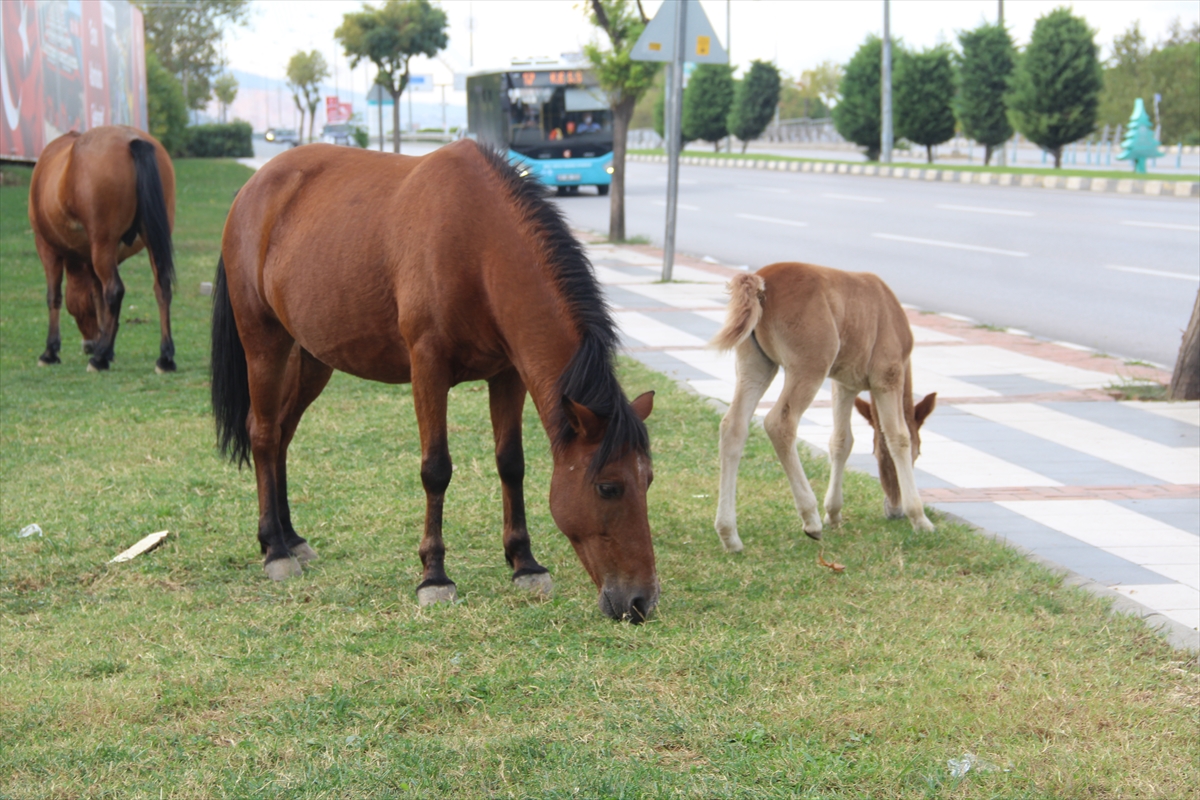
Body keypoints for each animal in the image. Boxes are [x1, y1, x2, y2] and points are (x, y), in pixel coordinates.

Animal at [27, 126, 175, 374]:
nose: (88, 345)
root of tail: (132, 140)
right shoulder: (94, 257)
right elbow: (99, 297)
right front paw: (108, 346)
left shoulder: (47, 247)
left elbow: (54, 296)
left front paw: (51, 351)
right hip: (152, 242)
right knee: (161, 287)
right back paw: (165, 357)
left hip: (101, 244)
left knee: (114, 289)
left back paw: (98, 359)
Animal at [206, 140, 657, 623]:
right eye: (608, 487)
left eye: (648, 480)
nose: (641, 601)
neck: (478, 246)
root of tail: (253, 187)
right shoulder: (427, 366)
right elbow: (436, 469)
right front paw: (435, 576)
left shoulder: (507, 374)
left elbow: (511, 463)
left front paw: (525, 564)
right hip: (264, 342)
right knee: (264, 434)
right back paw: (275, 549)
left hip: (312, 357)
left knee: (283, 436)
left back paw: (291, 538)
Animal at [710, 262, 936, 551]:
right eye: (918, 454)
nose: (894, 511)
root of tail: (761, 280)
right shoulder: (888, 376)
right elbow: (898, 436)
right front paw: (920, 519)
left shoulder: (844, 384)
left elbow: (841, 441)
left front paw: (834, 513)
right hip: (810, 366)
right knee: (779, 422)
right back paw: (811, 520)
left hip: (756, 365)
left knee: (733, 426)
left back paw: (730, 535)